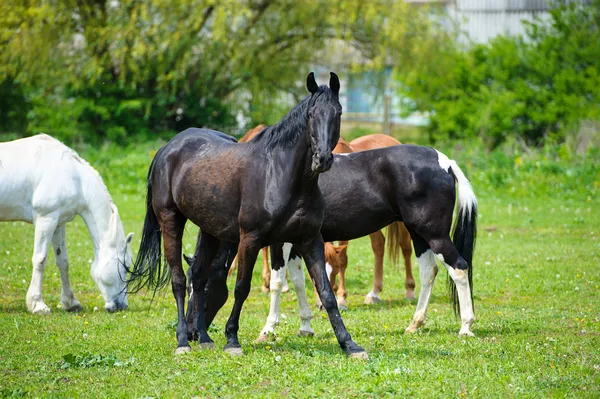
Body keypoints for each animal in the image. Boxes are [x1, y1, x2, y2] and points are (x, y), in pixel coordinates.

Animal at [0, 135, 134, 316]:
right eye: (126, 267)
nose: (122, 306)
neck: (73, 177)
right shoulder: (46, 219)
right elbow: (40, 260)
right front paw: (37, 305)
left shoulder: (58, 223)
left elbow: (63, 261)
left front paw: (71, 303)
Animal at [126, 72, 366, 360]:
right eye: (311, 114)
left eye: (338, 113)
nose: (322, 160)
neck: (280, 175)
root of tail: (166, 150)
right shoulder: (250, 240)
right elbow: (242, 288)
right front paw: (232, 340)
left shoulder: (309, 241)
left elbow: (326, 293)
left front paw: (350, 344)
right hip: (171, 221)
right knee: (179, 280)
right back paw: (183, 341)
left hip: (209, 230)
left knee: (198, 274)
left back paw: (204, 338)